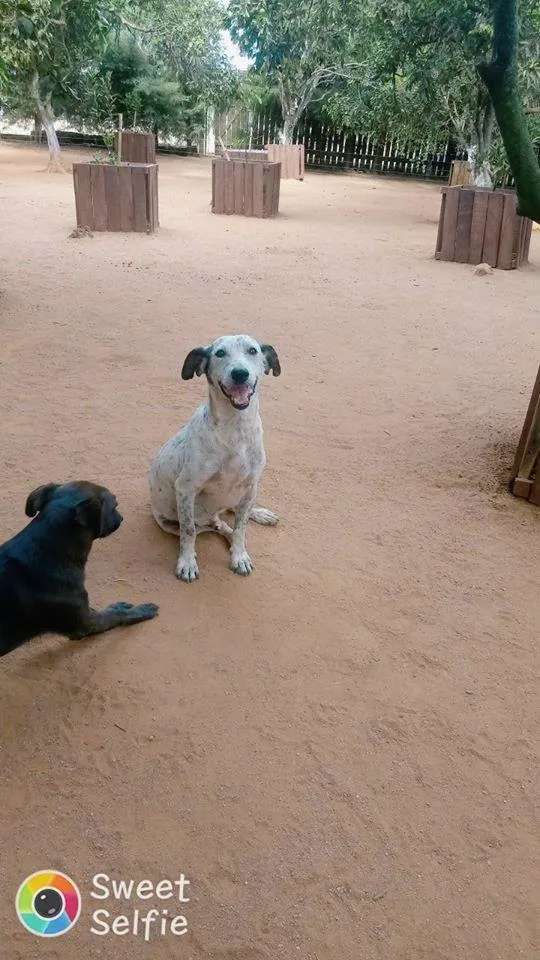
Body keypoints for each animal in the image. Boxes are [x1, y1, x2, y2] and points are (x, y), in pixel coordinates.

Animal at [0, 484, 159, 656]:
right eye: (115, 506)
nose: (122, 517)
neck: (48, 552)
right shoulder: (86, 624)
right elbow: (114, 615)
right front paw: (138, 610)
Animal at [150, 334, 280, 580]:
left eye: (252, 350)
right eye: (220, 353)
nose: (240, 373)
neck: (235, 429)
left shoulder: (251, 486)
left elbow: (241, 528)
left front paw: (239, 556)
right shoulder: (186, 488)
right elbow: (189, 531)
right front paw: (187, 562)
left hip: (246, 494)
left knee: (234, 517)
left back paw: (260, 515)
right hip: (169, 521)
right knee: (213, 526)